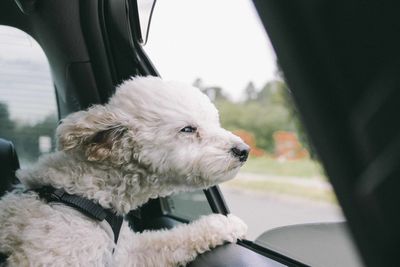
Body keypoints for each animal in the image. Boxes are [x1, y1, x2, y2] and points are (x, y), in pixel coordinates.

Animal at [0, 76, 248, 266]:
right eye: (188, 129)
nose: (244, 150)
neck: (85, 193)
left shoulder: (125, 252)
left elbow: (169, 240)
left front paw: (224, 224)